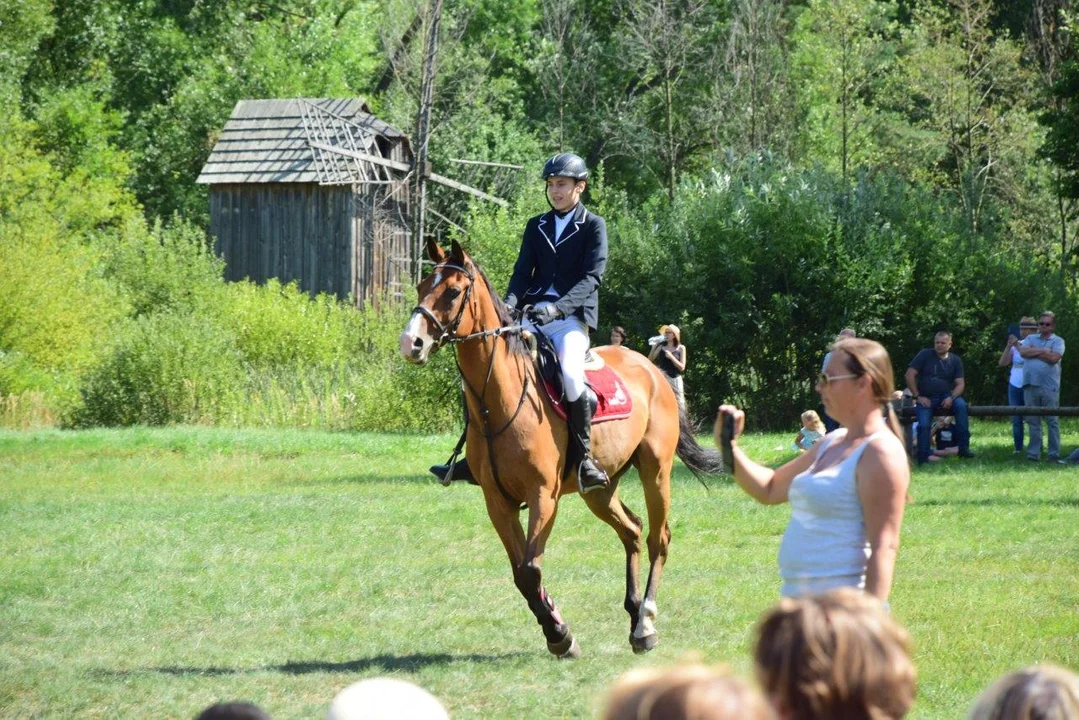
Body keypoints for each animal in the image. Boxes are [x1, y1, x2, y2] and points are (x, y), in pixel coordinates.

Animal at [399, 237, 725, 660]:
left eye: (453, 292)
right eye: (422, 287)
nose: (411, 343)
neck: (499, 400)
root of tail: (652, 369)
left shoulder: (543, 496)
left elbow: (530, 568)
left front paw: (560, 635)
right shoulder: (497, 502)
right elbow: (521, 573)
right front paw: (555, 624)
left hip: (656, 472)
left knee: (658, 538)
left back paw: (646, 624)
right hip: (600, 490)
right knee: (633, 530)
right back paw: (634, 615)